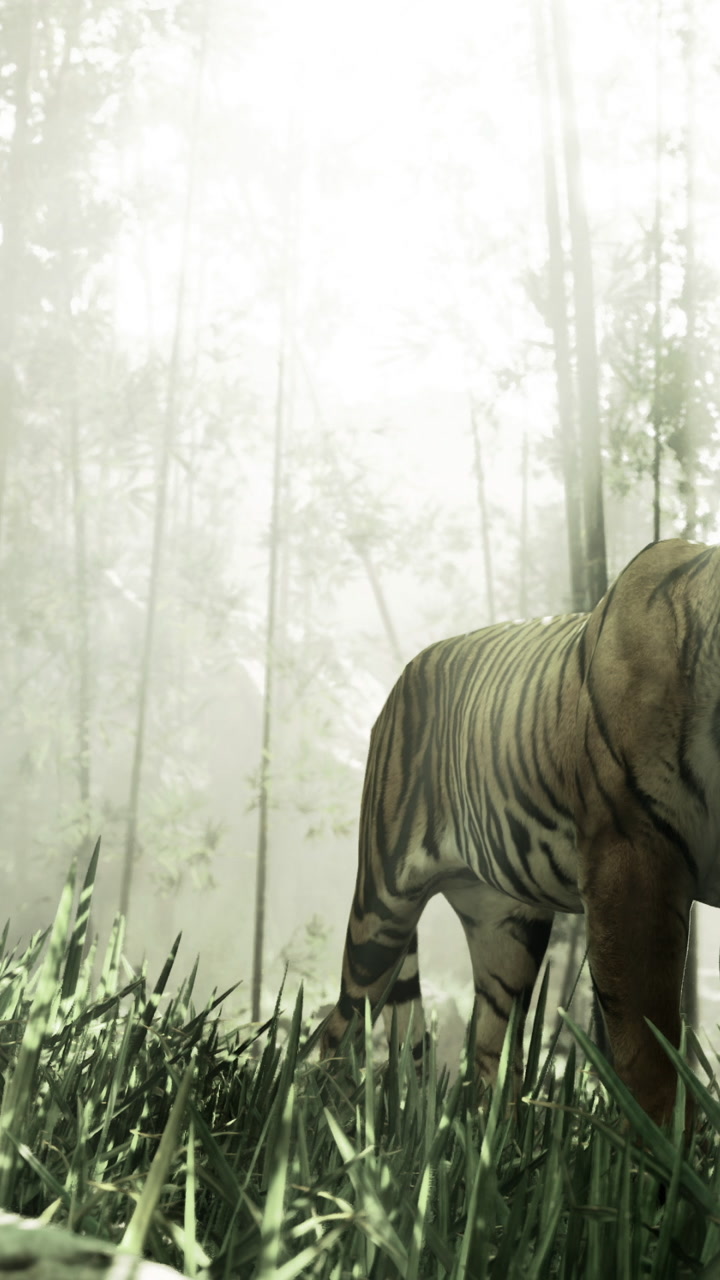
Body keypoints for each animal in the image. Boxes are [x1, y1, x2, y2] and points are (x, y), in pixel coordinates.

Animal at [320, 537, 720, 1124]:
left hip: (505, 930)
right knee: (338, 1028)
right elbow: (649, 1055)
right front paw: (661, 1149)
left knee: (490, 1052)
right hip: (381, 910)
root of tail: (408, 669)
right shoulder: (631, 861)